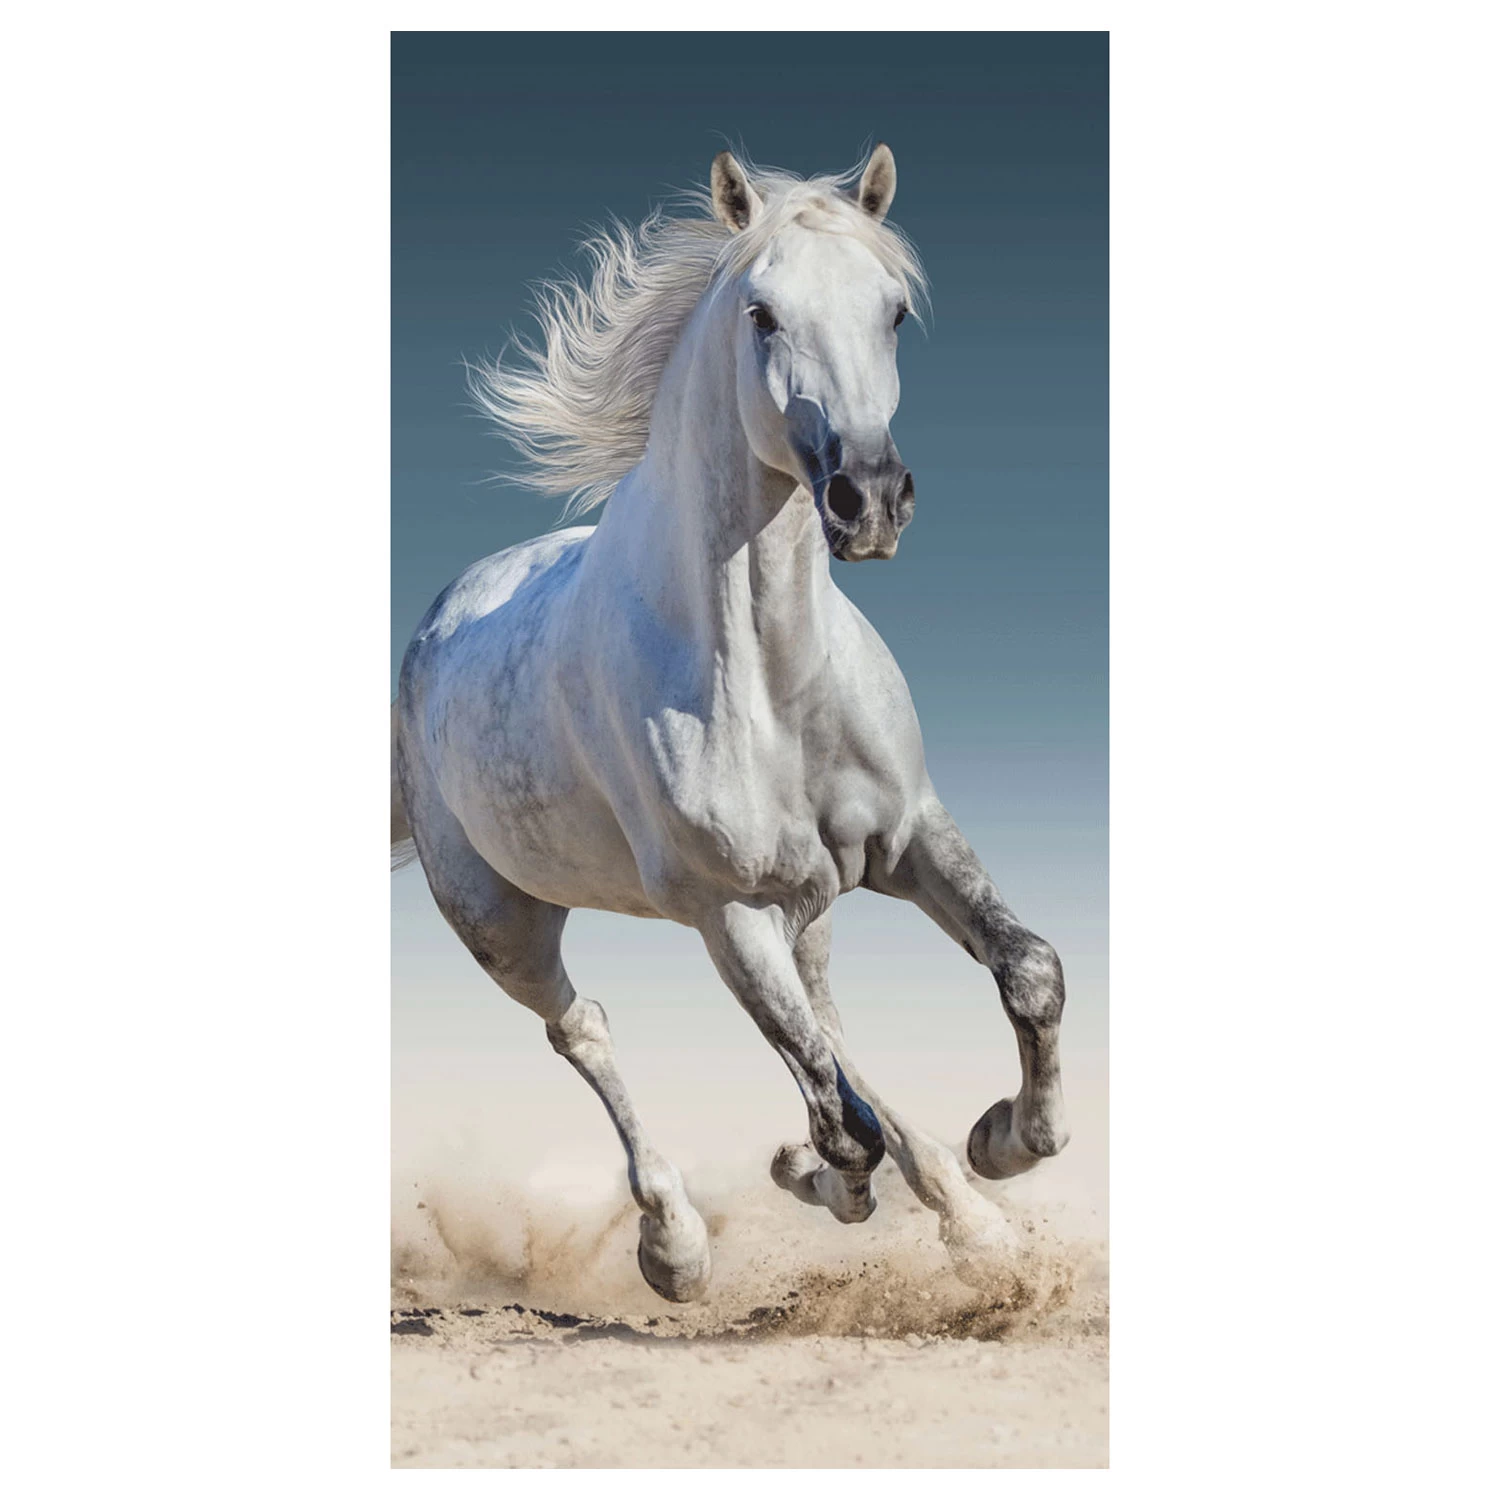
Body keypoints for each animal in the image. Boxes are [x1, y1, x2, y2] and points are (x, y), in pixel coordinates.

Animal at [392, 146, 1070, 1303]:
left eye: (893, 311)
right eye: (762, 313)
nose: (868, 500)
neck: (772, 674)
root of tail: (435, 626)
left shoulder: (908, 837)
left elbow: (1027, 974)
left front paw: (1004, 1145)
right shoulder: (730, 910)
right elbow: (840, 1117)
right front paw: (825, 1177)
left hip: (811, 901)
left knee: (829, 1028)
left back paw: (970, 1217)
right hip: (501, 922)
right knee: (586, 1030)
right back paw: (676, 1246)